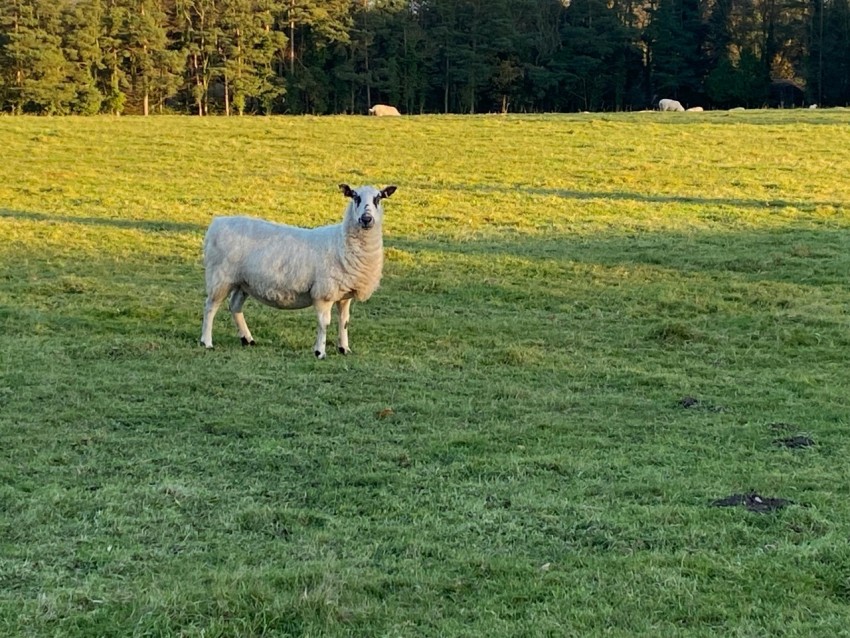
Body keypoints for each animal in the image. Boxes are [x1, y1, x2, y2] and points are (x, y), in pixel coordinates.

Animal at [200, 184, 398, 360]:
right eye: (355, 197)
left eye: (378, 198)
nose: (366, 219)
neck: (341, 242)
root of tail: (217, 222)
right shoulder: (323, 293)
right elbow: (324, 323)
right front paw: (320, 352)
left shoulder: (344, 294)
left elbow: (344, 321)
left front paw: (344, 349)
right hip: (221, 277)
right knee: (210, 307)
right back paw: (207, 342)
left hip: (243, 282)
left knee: (235, 306)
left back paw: (247, 339)